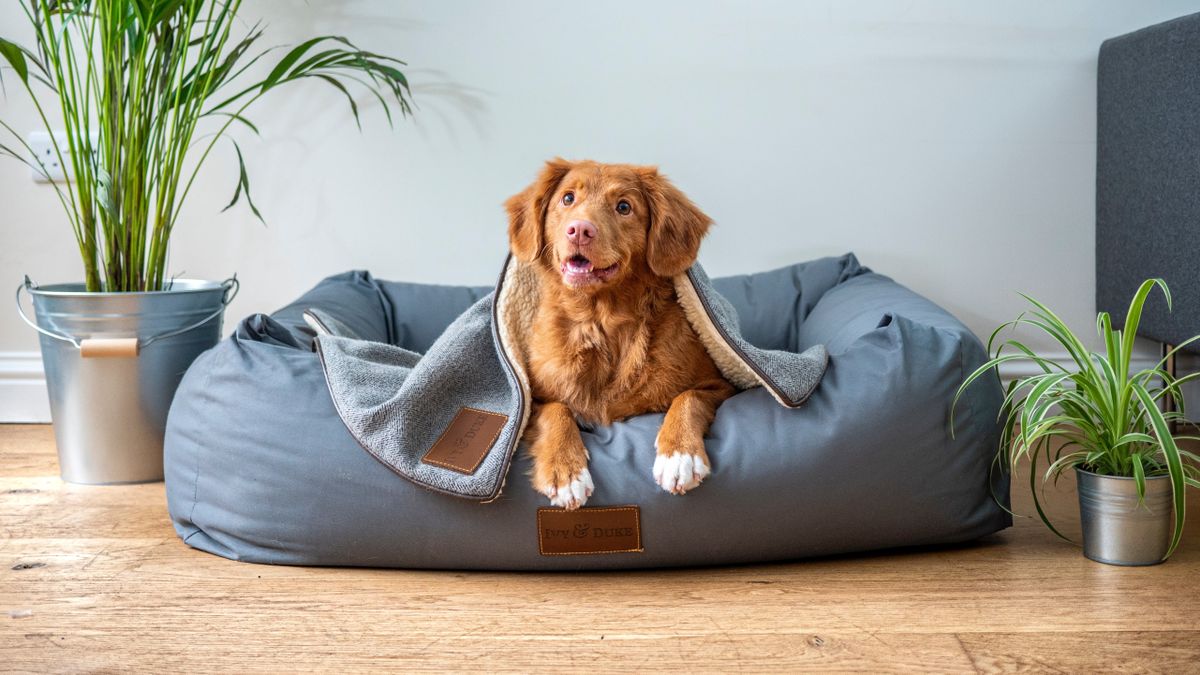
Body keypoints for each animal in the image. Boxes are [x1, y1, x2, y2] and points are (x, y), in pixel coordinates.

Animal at [501, 156, 734, 504]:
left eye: (624, 206)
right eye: (567, 198)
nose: (579, 230)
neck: (600, 321)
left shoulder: (720, 385)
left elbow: (688, 397)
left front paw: (679, 456)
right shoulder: (532, 399)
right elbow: (556, 410)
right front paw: (566, 470)